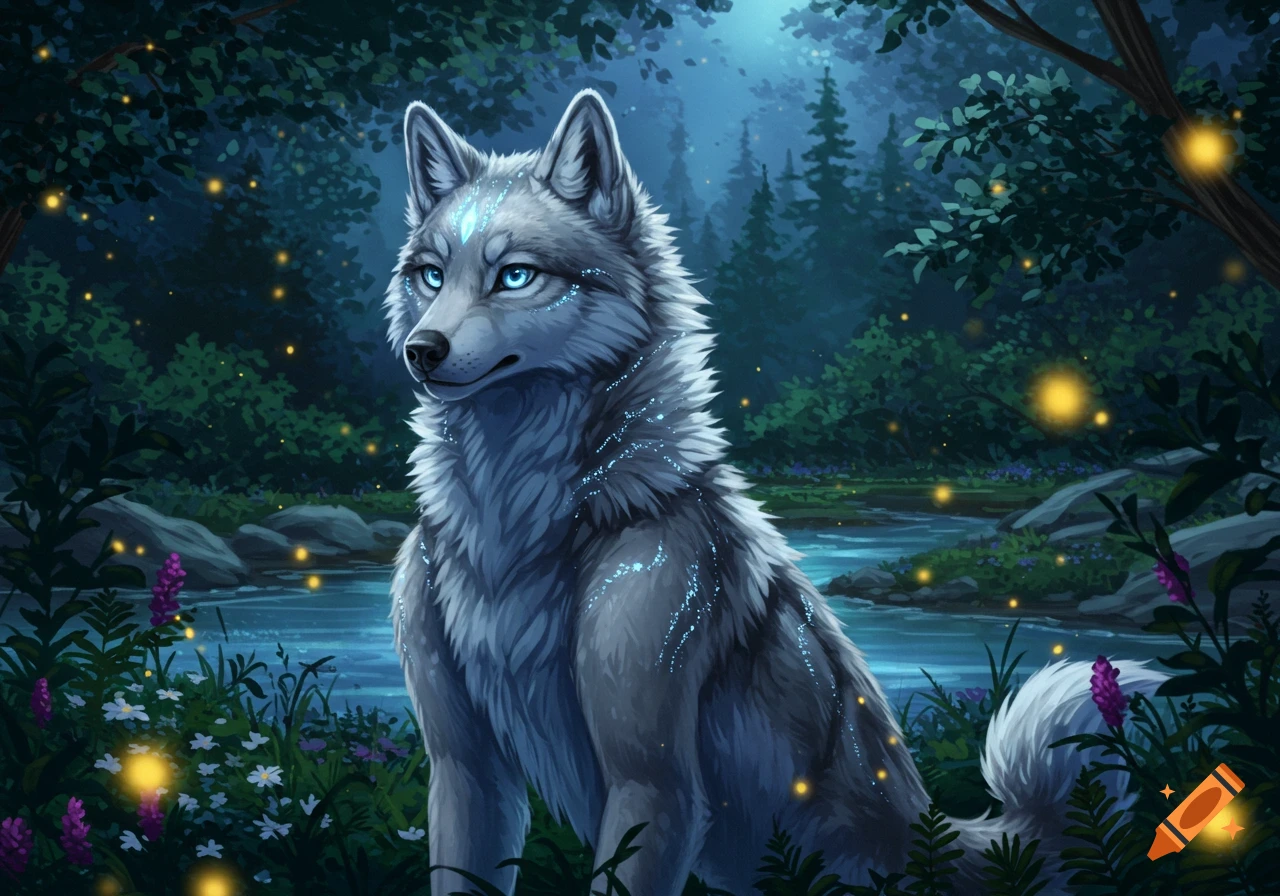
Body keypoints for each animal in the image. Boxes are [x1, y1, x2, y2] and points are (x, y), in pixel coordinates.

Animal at [384, 89, 1164, 896]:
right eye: (432, 276)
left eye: (514, 275)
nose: (421, 351)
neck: (515, 524)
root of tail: (926, 830)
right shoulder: (465, 771)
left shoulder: (651, 785)